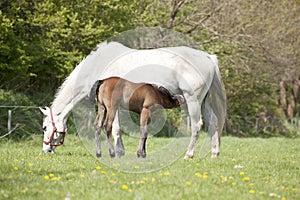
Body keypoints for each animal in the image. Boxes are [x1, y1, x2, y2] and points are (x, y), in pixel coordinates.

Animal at [39, 41, 225, 159]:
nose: (46, 149)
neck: (99, 64)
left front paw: (118, 152)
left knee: (197, 125)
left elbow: (115, 128)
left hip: (193, 101)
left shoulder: (113, 106)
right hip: (204, 102)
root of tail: (208, 57)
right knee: (214, 122)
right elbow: (117, 128)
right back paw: (214, 153)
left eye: (46, 127)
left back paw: (189, 154)